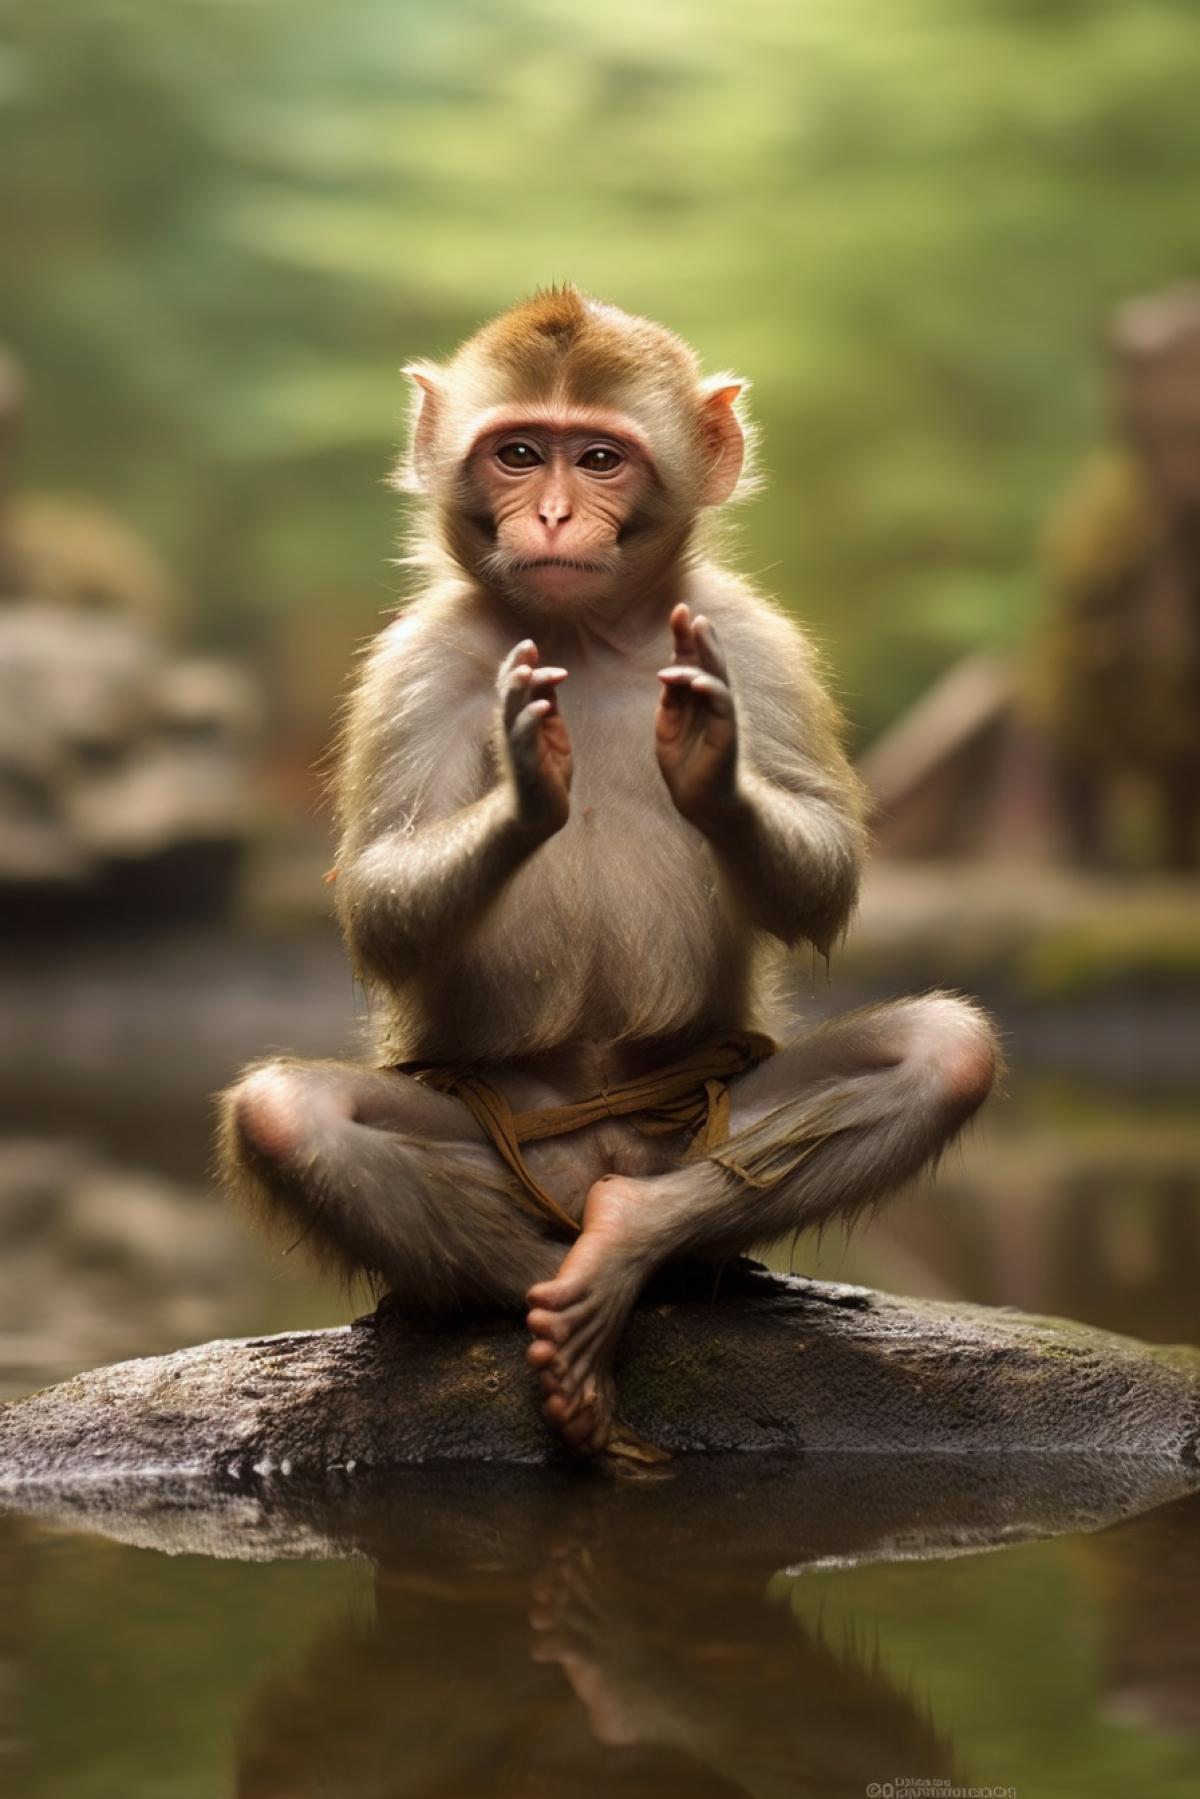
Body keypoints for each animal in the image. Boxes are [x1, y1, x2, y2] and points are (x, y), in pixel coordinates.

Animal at [219, 287, 999, 1462]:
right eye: (517, 453)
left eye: (598, 457)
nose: (548, 515)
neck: (586, 633)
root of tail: (594, 1168)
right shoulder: (412, 661)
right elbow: (377, 902)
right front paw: (523, 787)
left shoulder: (750, 637)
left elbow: (825, 869)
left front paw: (712, 766)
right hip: (513, 1138)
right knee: (290, 1113)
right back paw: (548, 1295)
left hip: (679, 1122)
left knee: (943, 1050)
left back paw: (631, 1250)